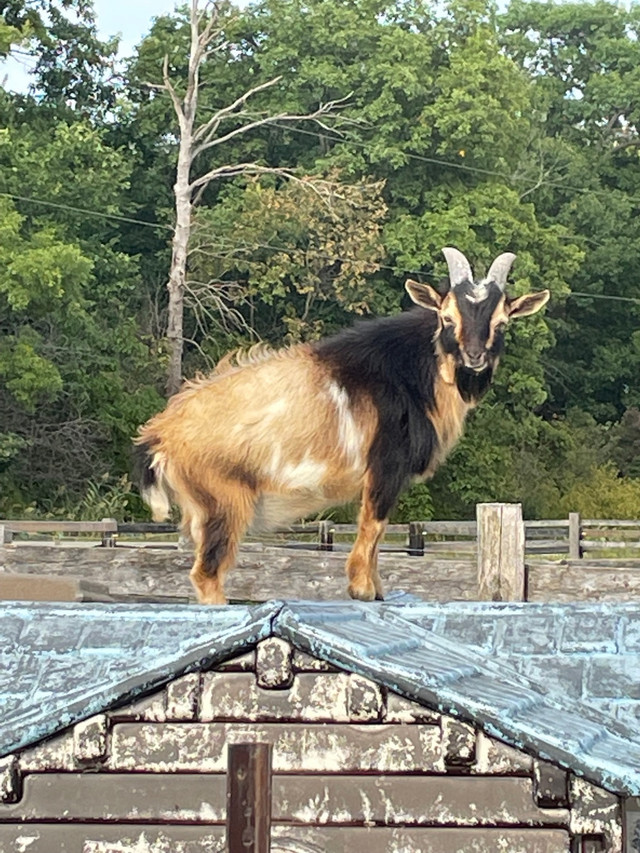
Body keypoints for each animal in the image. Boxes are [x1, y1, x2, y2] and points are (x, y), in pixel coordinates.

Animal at [135, 246, 552, 604]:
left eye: (501, 323)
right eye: (447, 317)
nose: (474, 356)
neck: (414, 374)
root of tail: (161, 434)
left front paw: (378, 589)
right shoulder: (385, 467)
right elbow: (373, 524)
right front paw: (362, 589)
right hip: (224, 503)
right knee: (207, 574)